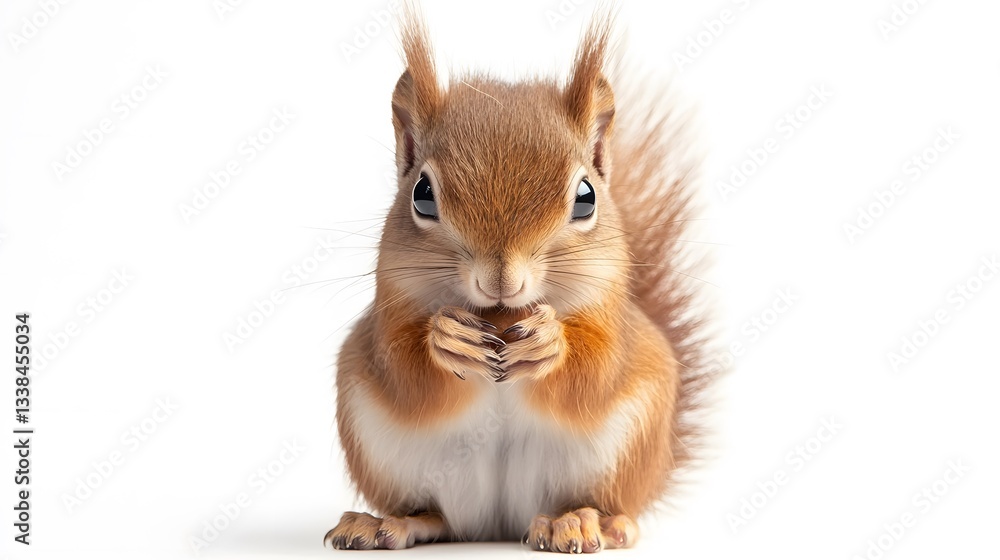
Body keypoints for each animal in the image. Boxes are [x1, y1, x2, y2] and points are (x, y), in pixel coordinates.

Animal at [325, 7, 711, 554]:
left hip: (624, 451)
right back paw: (387, 523)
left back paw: (585, 522)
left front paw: (551, 342)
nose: (501, 280)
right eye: (422, 193)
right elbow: (402, 371)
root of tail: (499, 526)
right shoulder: (388, 313)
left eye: (586, 197)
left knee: (610, 505)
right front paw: (447, 338)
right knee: (436, 517)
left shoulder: (615, 323)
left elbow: (597, 372)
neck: (502, 313)